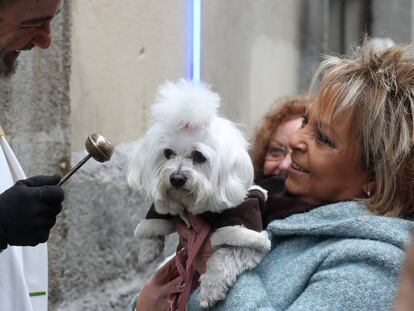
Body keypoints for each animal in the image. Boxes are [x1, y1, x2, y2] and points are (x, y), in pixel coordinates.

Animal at [130, 80, 272, 308]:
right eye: (168, 153)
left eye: (199, 156)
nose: (176, 178)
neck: (192, 203)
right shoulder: (164, 206)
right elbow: (155, 218)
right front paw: (148, 248)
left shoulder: (244, 220)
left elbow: (228, 255)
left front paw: (210, 289)